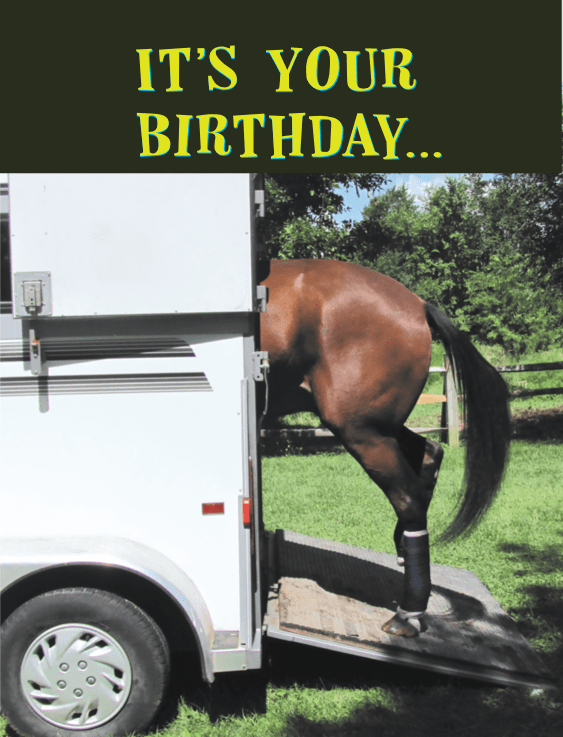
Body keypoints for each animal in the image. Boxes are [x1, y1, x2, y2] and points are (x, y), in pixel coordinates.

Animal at [260, 259, 511, 637]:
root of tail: (417, 304)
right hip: (380, 428)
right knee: (430, 452)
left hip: (362, 432)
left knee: (408, 496)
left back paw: (409, 612)